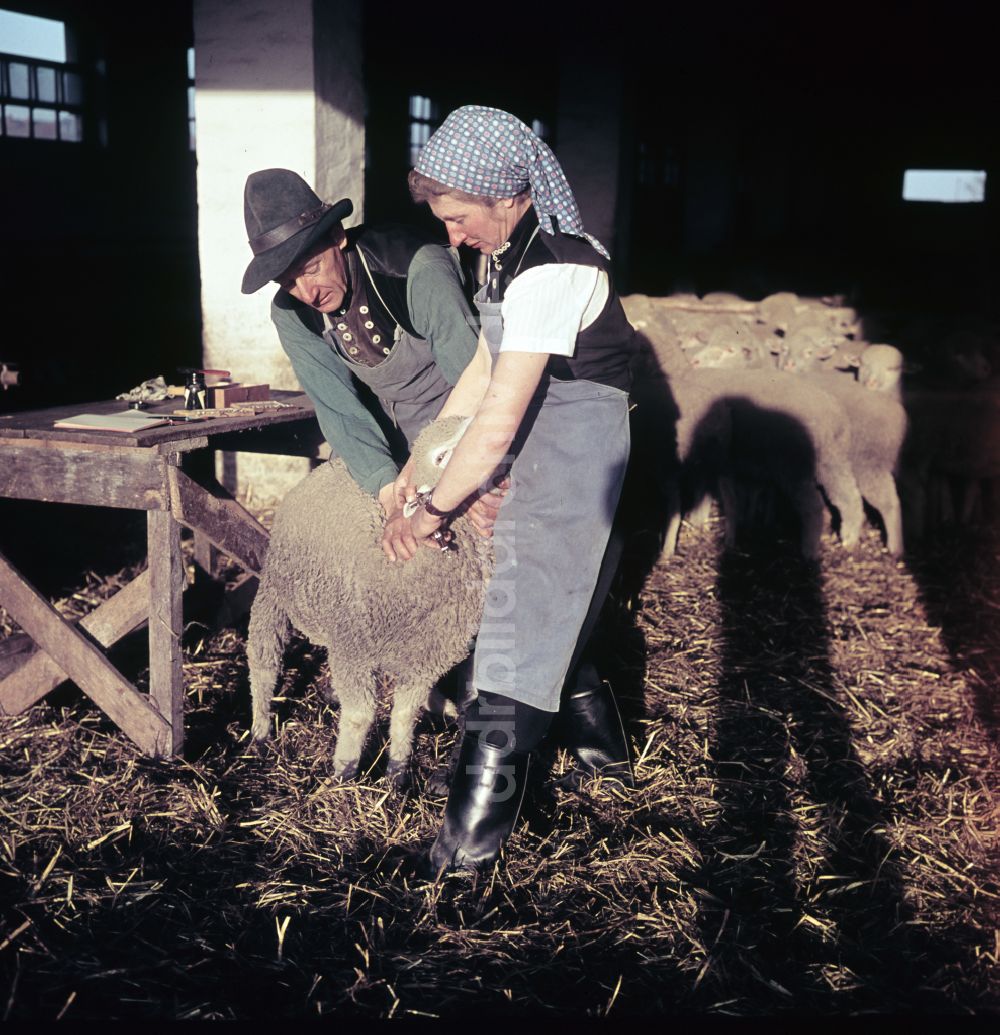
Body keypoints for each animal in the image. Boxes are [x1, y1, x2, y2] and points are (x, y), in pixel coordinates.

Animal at [244, 411, 490, 782]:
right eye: (441, 457)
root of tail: (332, 465)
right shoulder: (353, 652)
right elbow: (360, 716)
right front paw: (343, 774)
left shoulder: (425, 659)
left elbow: (404, 715)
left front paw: (397, 774)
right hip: (273, 593)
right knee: (262, 664)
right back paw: (259, 731)